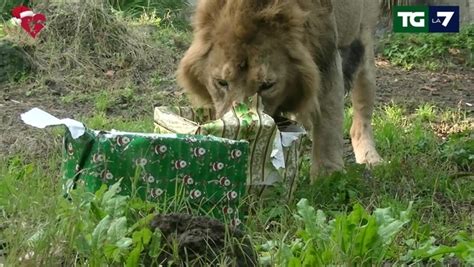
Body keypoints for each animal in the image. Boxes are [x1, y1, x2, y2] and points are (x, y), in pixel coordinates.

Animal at [176, 0, 384, 181]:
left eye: (267, 85)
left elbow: (328, 125)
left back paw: (370, 157)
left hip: (364, 41)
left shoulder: (327, 59)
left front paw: (327, 178)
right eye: (221, 82)